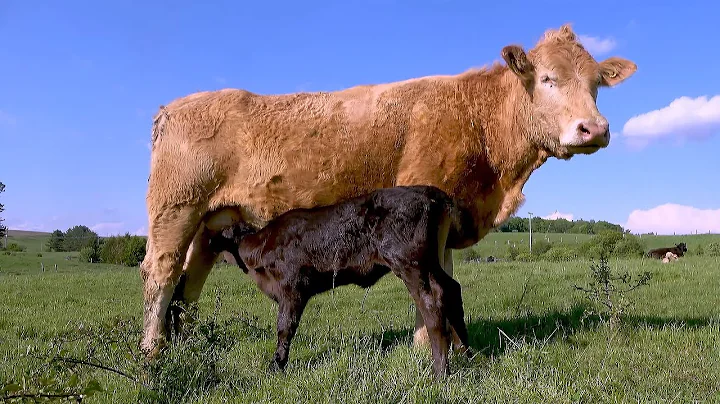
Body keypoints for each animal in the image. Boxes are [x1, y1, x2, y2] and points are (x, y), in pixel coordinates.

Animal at [140, 23, 637, 358]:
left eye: (596, 84)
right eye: (548, 79)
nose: (594, 129)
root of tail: (175, 106)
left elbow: (444, 277)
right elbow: (434, 279)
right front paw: (427, 345)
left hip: (211, 222)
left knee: (190, 281)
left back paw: (183, 343)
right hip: (175, 208)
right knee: (160, 274)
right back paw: (152, 352)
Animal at [207, 185, 475, 377]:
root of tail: (430, 191)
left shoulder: (292, 288)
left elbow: (285, 327)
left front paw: (277, 366)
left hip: (410, 263)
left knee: (432, 301)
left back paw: (440, 372)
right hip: (430, 261)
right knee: (451, 289)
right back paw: (469, 355)